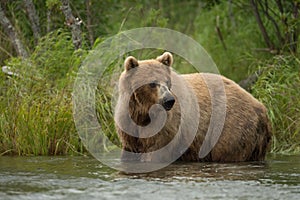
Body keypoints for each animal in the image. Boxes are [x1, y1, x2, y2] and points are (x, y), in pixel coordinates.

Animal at [115, 52, 272, 162]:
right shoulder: (128, 123)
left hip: (231, 127)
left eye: (167, 81)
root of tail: (262, 108)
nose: (169, 100)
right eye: (152, 83)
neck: (144, 112)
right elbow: (129, 149)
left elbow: (156, 151)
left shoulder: (167, 127)